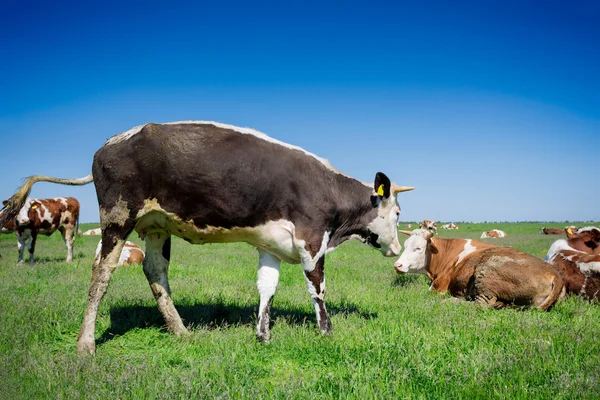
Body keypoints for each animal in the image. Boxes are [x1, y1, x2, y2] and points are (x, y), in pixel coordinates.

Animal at [0, 120, 414, 354]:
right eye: (396, 213)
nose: (395, 248)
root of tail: (111, 142)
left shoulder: (272, 245)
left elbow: (267, 287)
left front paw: (263, 335)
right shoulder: (312, 239)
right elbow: (318, 287)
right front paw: (326, 332)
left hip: (155, 225)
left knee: (155, 272)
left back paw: (180, 331)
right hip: (117, 217)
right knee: (101, 271)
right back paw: (86, 344)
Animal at [394, 228, 564, 310]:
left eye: (418, 248)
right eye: (405, 245)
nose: (397, 265)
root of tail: (555, 274)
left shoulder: (439, 286)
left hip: (487, 270)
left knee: (481, 304)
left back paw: (452, 301)